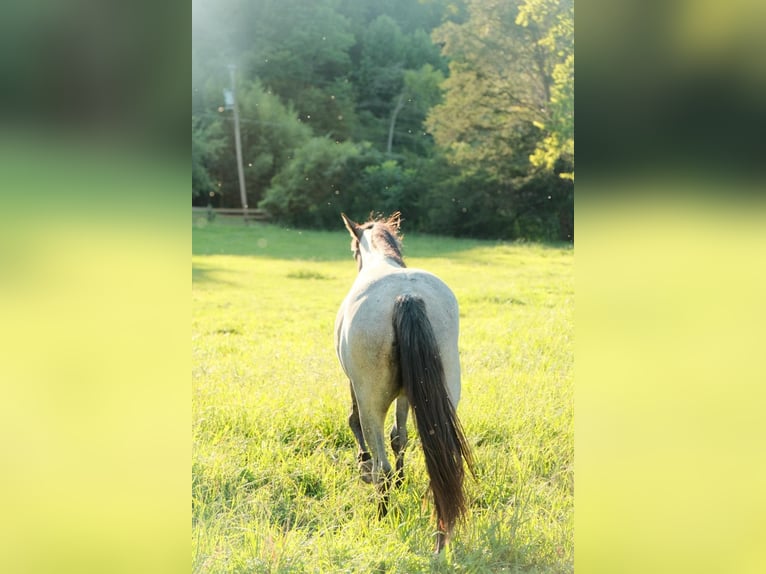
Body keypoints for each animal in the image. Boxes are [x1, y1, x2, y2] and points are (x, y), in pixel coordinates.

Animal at [334, 212, 474, 553]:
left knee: (380, 464)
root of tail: (407, 297)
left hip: (372, 399)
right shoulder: (407, 394)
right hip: (443, 397)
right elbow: (400, 436)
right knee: (441, 464)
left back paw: (381, 515)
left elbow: (353, 420)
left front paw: (363, 465)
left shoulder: (355, 385)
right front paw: (401, 479)